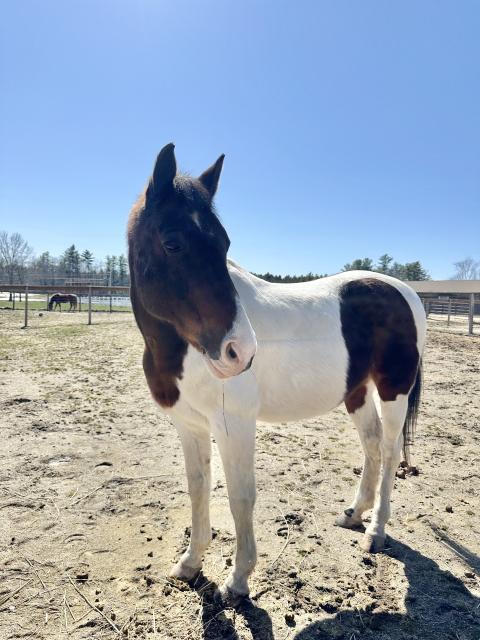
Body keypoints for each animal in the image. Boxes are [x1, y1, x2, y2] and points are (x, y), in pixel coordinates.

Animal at [127, 144, 426, 605]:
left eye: (224, 244)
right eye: (173, 243)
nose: (240, 351)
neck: (185, 350)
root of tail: (404, 291)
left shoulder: (233, 424)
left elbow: (240, 496)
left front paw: (238, 580)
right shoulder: (189, 424)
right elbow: (198, 488)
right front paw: (191, 563)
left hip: (394, 388)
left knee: (392, 452)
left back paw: (375, 532)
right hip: (357, 391)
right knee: (373, 446)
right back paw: (354, 514)